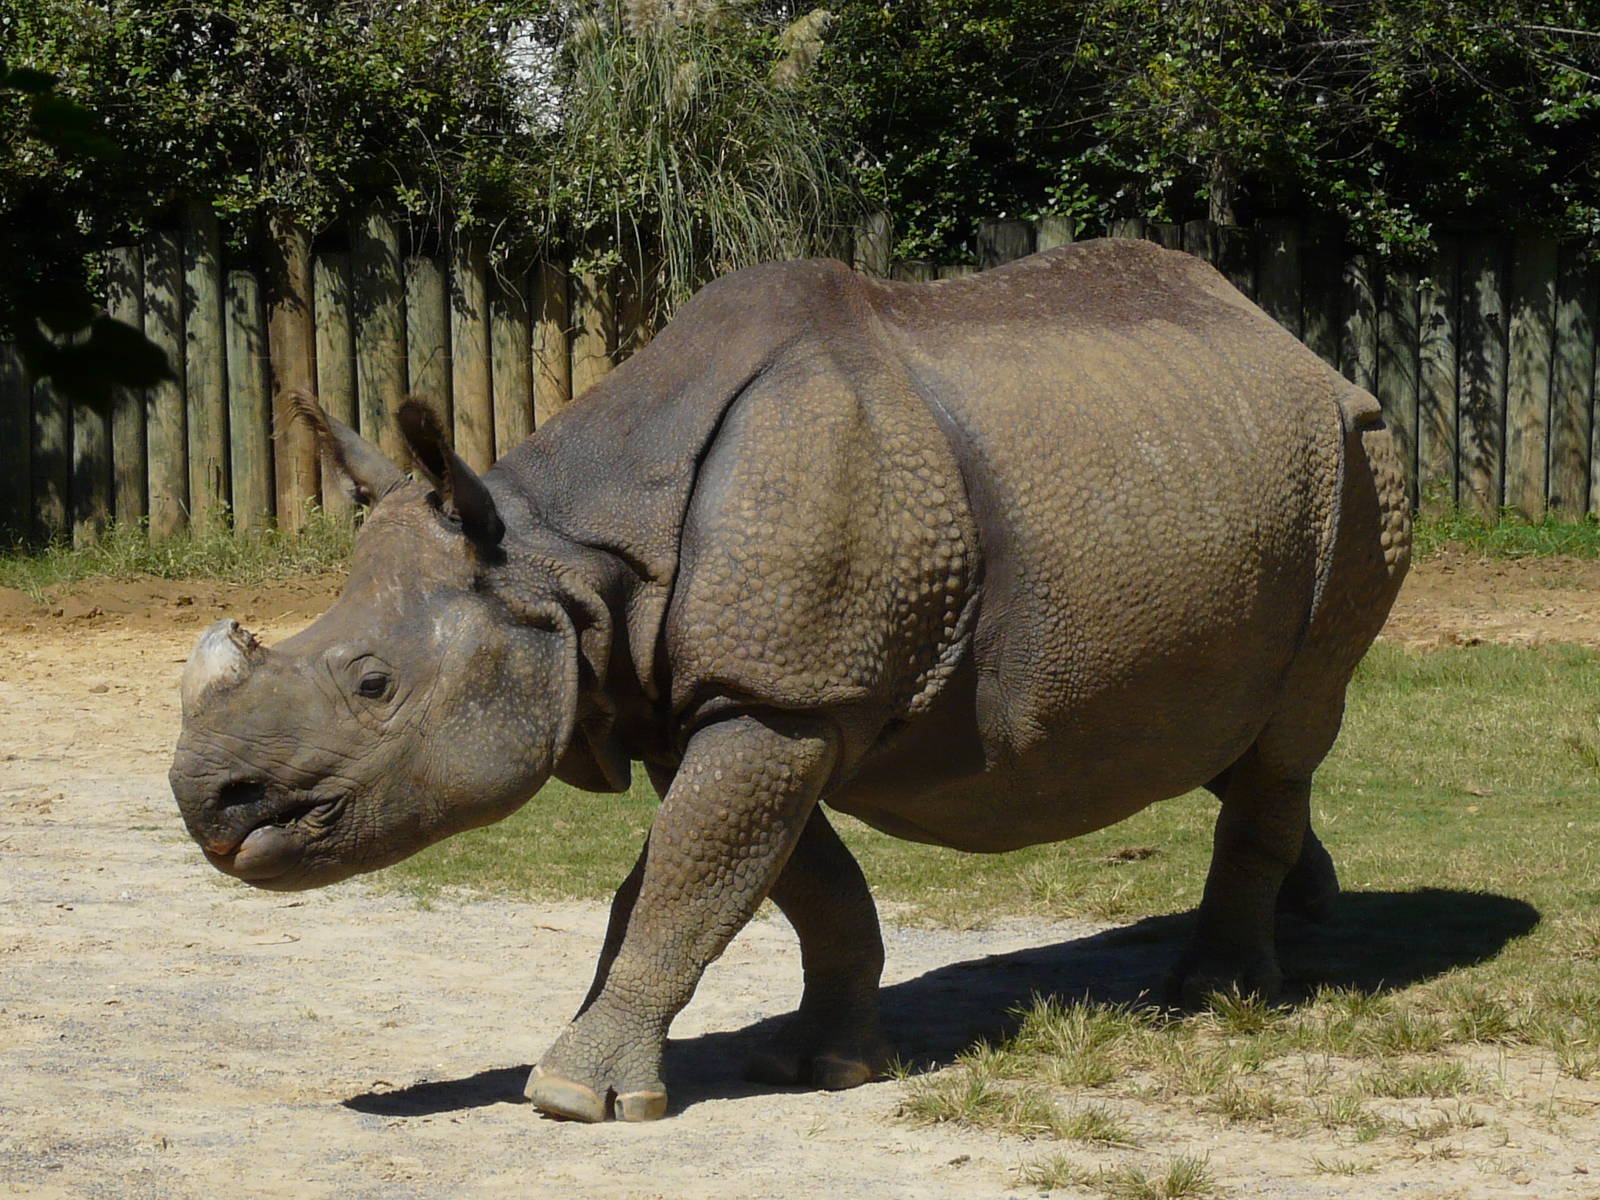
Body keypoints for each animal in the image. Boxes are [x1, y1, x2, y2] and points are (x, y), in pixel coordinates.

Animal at [170, 239, 1410, 1122]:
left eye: (374, 684)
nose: (205, 802)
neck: (556, 560)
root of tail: (1294, 344)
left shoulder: (782, 695)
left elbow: (687, 877)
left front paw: (572, 1096)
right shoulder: (732, 697)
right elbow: (786, 878)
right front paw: (827, 1065)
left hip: (1360, 462)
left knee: (1294, 720)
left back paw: (1217, 993)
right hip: (1212, 468)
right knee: (1239, 737)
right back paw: (1308, 911)